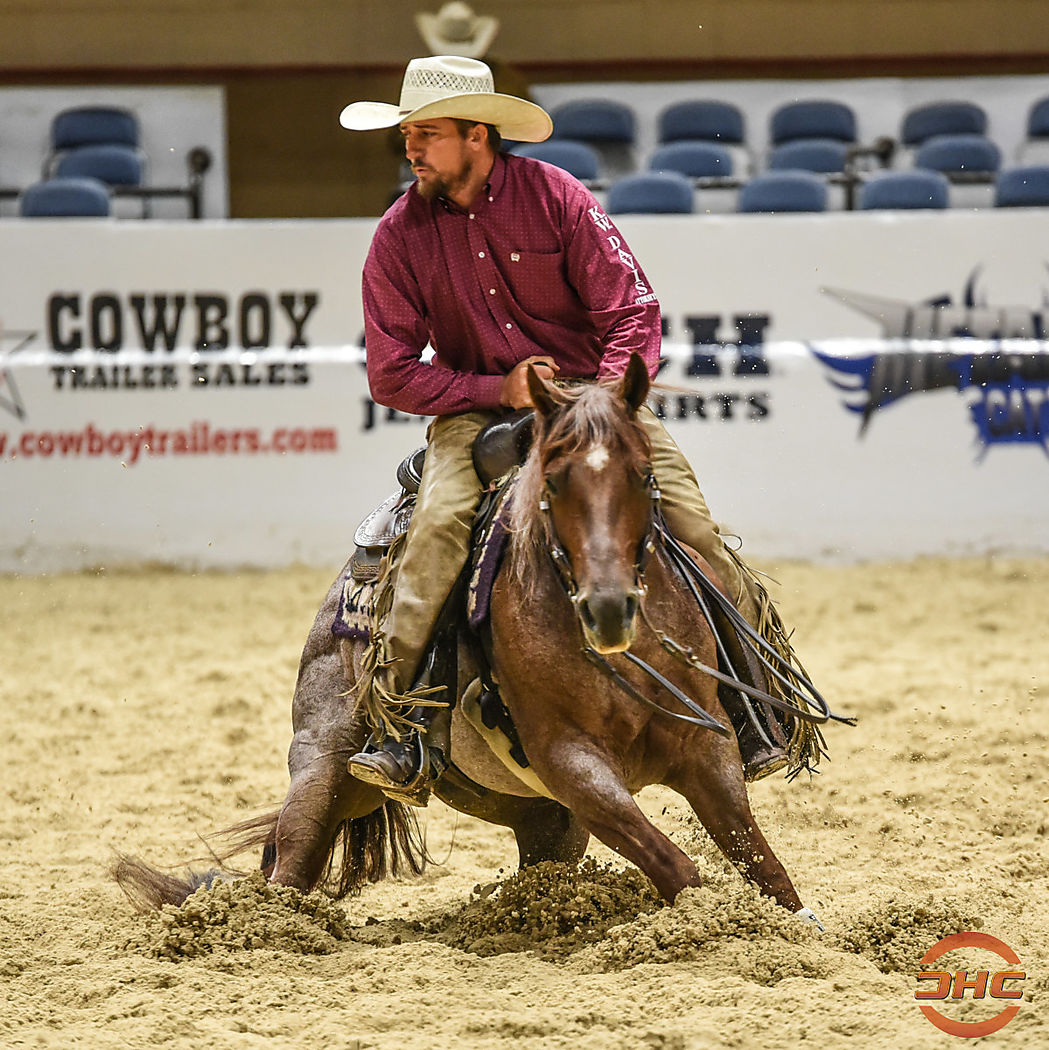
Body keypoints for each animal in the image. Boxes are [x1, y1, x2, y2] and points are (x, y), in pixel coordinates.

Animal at [119, 354, 844, 928]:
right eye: (553, 478)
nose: (609, 606)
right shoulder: (574, 765)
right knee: (288, 868)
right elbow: (676, 867)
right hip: (325, 767)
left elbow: (761, 862)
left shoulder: (704, 749)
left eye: (643, 475)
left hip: (541, 817)